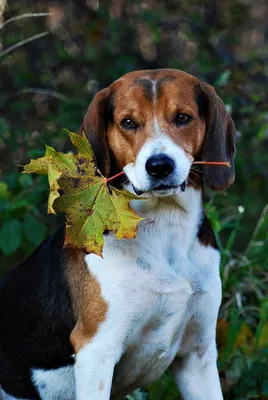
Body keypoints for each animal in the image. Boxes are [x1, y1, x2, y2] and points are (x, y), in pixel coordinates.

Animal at [0, 69, 234, 400]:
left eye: (183, 118)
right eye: (128, 122)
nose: (159, 166)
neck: (165, 228)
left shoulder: (198, 356)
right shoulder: (96, 352)